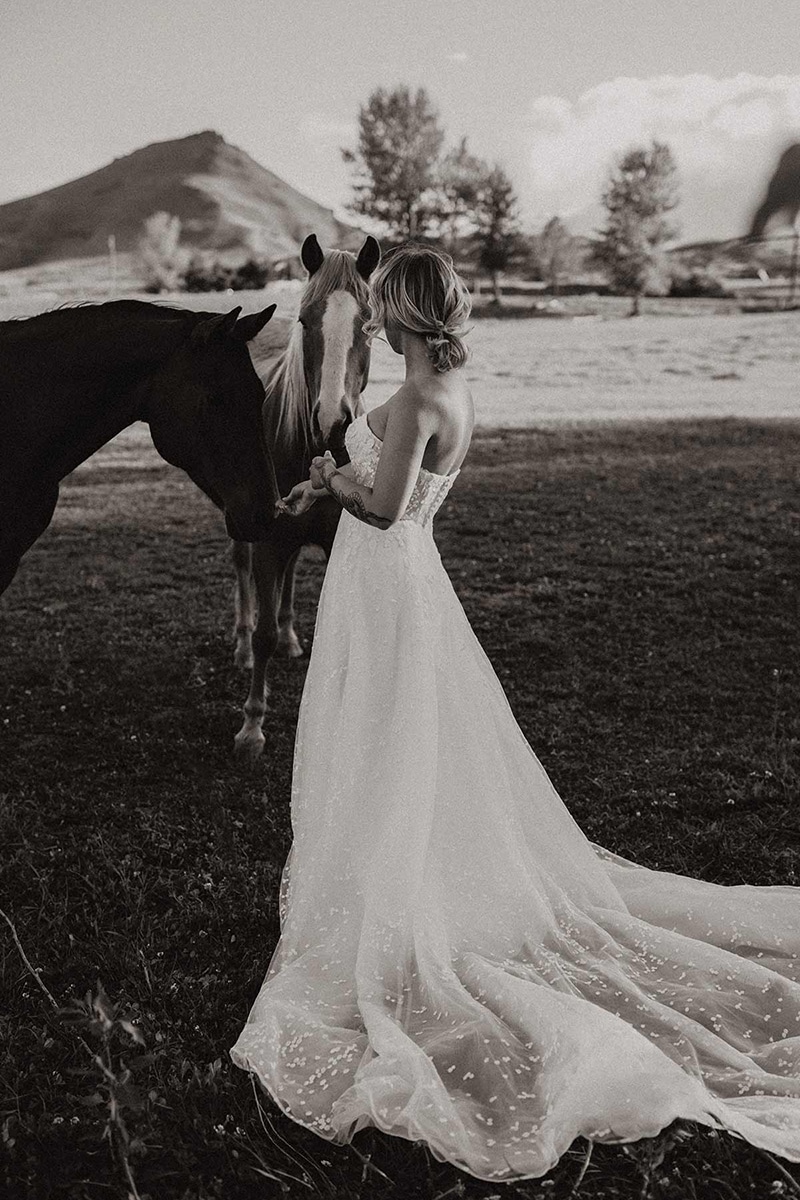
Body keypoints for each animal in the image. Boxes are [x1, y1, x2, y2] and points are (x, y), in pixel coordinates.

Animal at [232, 232, 381, 759]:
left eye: (369, 325)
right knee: (241, 570)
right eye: (304, 320)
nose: (332, 422)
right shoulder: (267, 544)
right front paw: (252, 725)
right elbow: (263, 634)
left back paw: (292, 637)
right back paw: (240, 643)